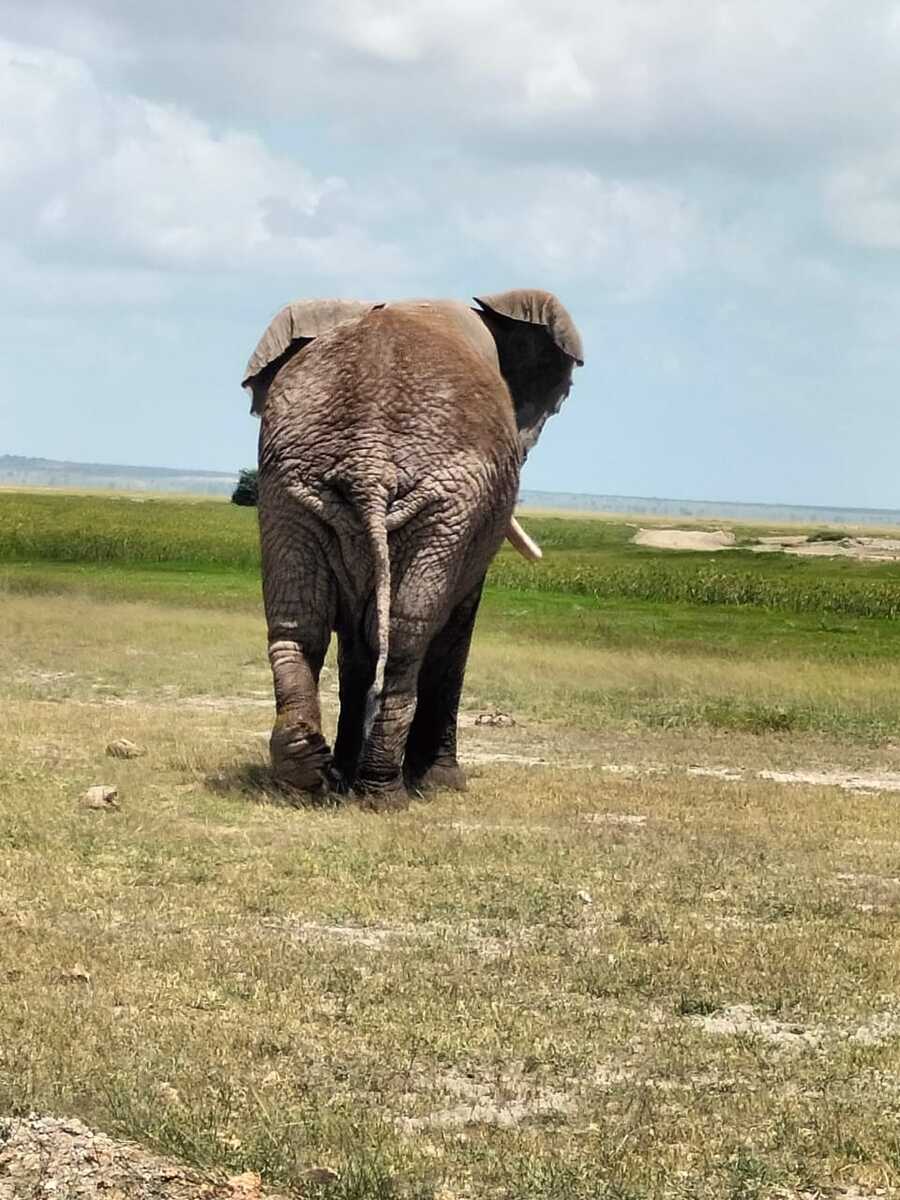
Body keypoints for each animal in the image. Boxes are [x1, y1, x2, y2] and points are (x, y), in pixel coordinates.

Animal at [241, 290, 583, 805]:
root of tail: (369, 461)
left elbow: (358, 642)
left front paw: (342, 773)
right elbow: (455, 625)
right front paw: (443, 782)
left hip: (288, 488)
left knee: (300, 625)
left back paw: (309, 773)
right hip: (444, 506)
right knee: (407, 635)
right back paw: (384, 794)